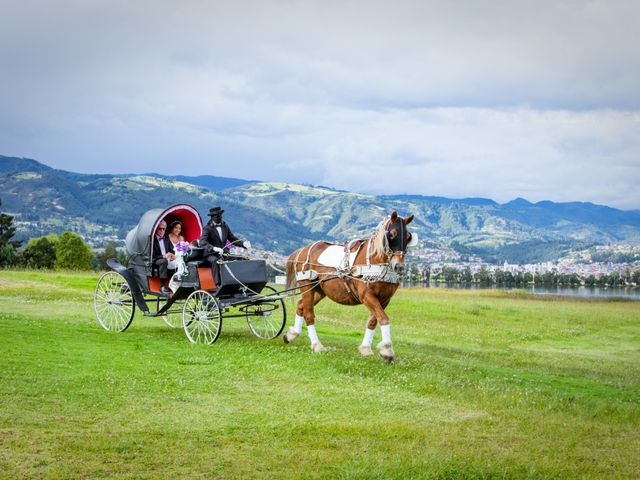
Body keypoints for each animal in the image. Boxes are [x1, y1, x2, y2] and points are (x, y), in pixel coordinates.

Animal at [284, 212, 416, 362]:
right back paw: (317, 345)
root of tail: (303, 249)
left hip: (319, 290)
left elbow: (373, 321)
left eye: (408, 236)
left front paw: (366, 348)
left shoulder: (384, 299)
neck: (374, 263)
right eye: (392, 234)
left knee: (301, 306)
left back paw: (292, 334)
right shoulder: (366, 296)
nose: (399, 266)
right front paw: (387, 350)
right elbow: (383, 319)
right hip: (307, 287)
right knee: (308, 314)